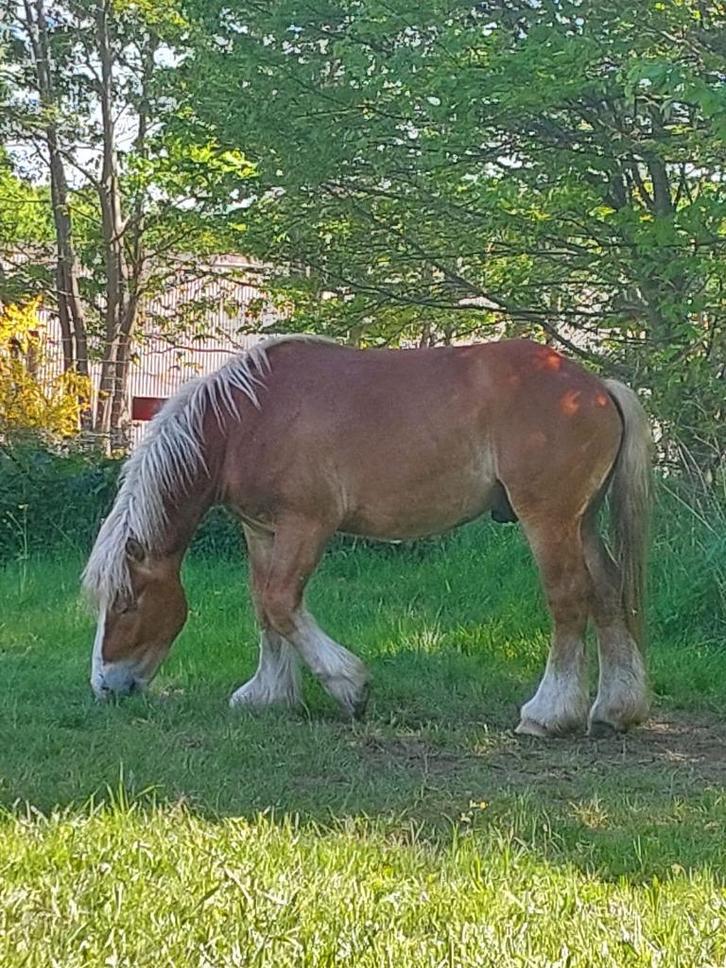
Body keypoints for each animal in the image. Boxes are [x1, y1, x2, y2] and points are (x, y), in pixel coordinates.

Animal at [82, 335, 652, 737]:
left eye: (128, 603)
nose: (105, 686)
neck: (245, 419)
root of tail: (596, 389)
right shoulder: (262, 530)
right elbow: (263, 607)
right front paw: (269, 695)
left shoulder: (306, 525)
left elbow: (282, 601)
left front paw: (349, 687)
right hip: (582, 522)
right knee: (606, 594)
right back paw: (615, 710)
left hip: (549, 521)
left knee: (569, 600)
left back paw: (548, 713)